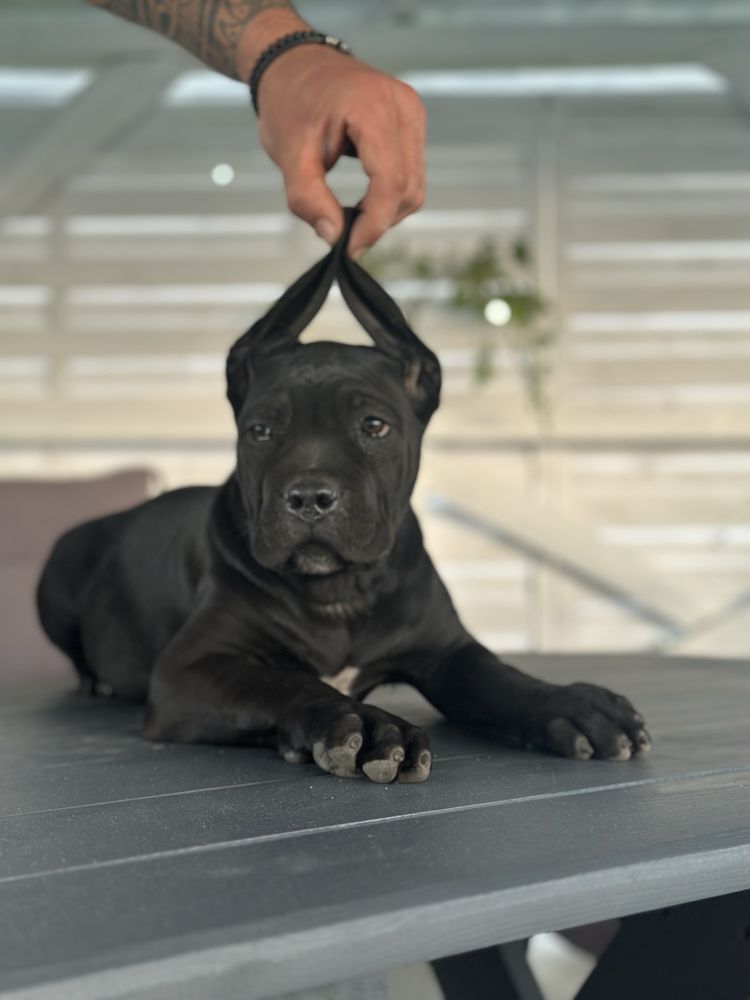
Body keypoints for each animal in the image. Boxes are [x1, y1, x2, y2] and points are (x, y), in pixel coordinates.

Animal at [35, 211, 648, 784]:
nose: (309, 497)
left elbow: (499, 679)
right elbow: (283, 683)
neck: (340, 591)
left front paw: (573, 706)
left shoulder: (446, 650)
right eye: (260, 431)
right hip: (58, 571)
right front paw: (367, 726)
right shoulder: (189, 667)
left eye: (374, 426)